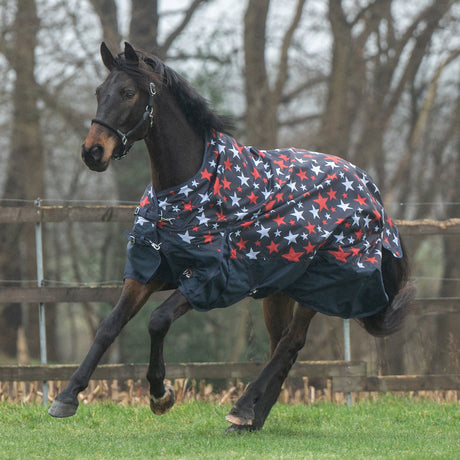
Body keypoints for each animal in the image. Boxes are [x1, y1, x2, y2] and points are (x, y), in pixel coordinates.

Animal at [48, 42, 416, 432]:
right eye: (99, 92)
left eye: (128, 93)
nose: (92, 152)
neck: (188, 191)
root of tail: (370, 190)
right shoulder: (151, 270)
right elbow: (109, 326)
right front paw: (67, 397)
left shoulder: (210, 279)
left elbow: (157, 321)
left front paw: (161, 395)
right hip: (281, 288)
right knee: (281, 345)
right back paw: (252, 417)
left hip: (323, 285)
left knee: (290, 343)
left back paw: (241, 408)